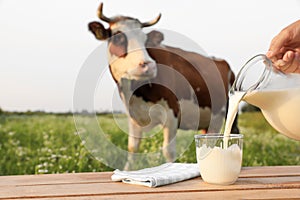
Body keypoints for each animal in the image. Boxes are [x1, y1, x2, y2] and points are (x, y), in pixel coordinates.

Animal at [87, 3, 239, 170]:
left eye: (145, 39)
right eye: (118, 37)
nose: (149, 65)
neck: (137, 93)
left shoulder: (172, 113)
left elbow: (168, 151)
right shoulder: (133, 117)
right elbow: (132, 148)